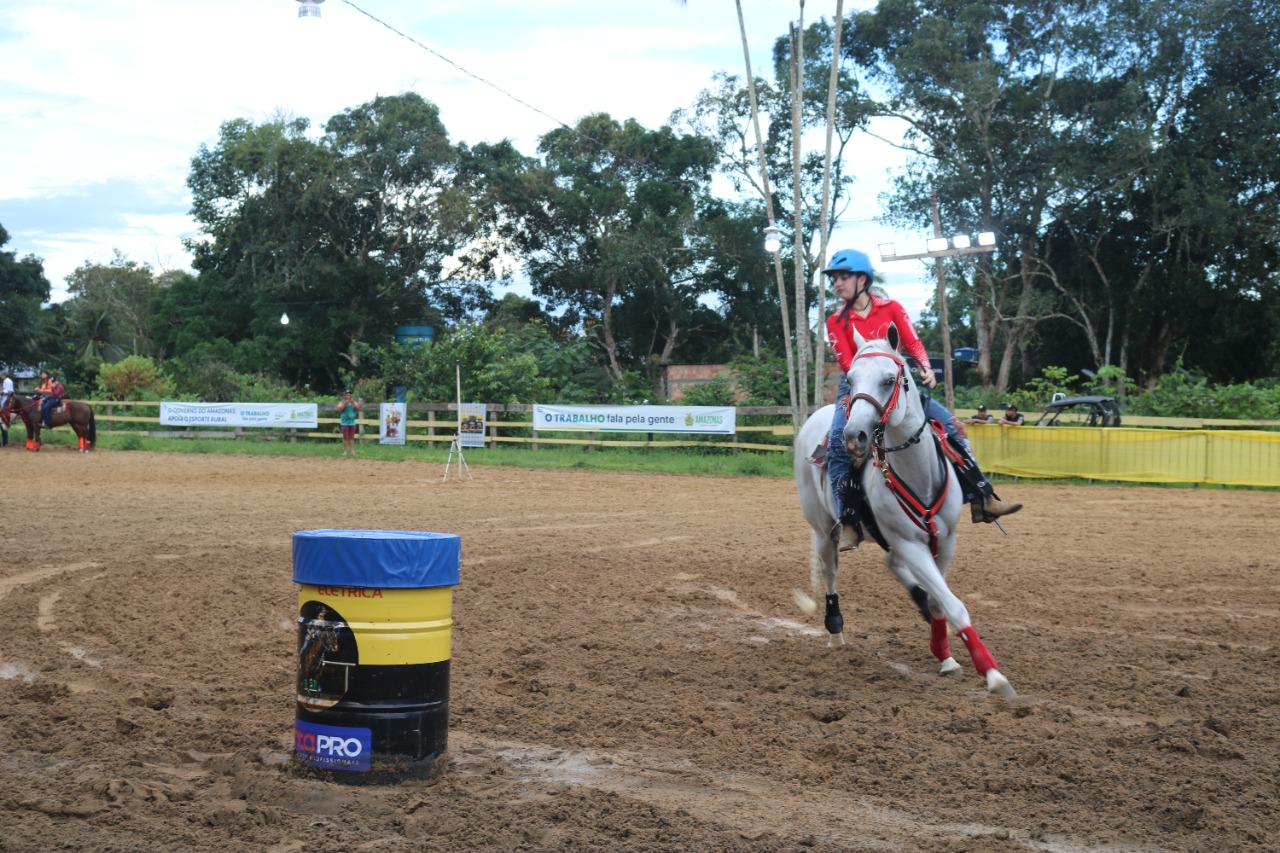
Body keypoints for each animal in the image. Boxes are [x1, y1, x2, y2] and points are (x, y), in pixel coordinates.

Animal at [793, 326, 1013, 696]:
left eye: (889, 379)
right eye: (850, 379)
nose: (854, 436)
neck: (917, 471)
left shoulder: (945, 541)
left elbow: (940, 601)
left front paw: (944, 654)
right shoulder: (910, 543)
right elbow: (954, 604)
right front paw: (992, 673)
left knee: (894, 566)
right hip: (825, 531)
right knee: (830, 573)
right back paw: (835, 630)